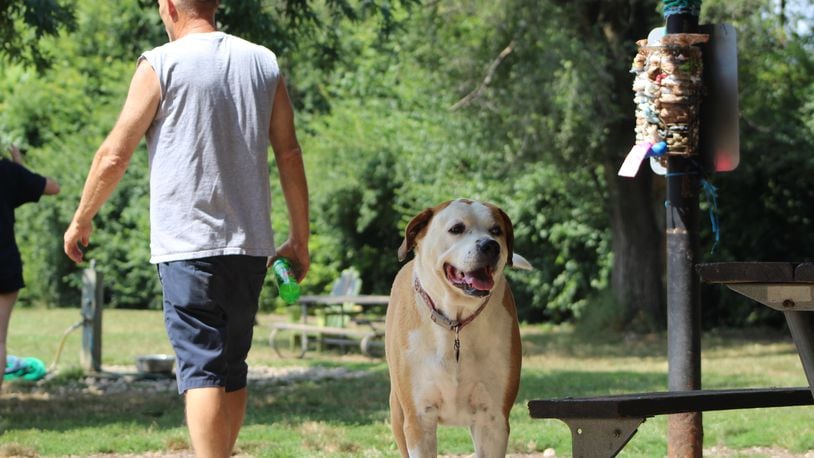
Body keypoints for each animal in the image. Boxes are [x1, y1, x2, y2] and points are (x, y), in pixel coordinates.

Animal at [384, 199, 528, 458]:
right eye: (456, 229)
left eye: (496, 230)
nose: (490, 246)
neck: (456, 323)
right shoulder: (418, 418)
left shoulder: (493, 419)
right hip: (397, 411)